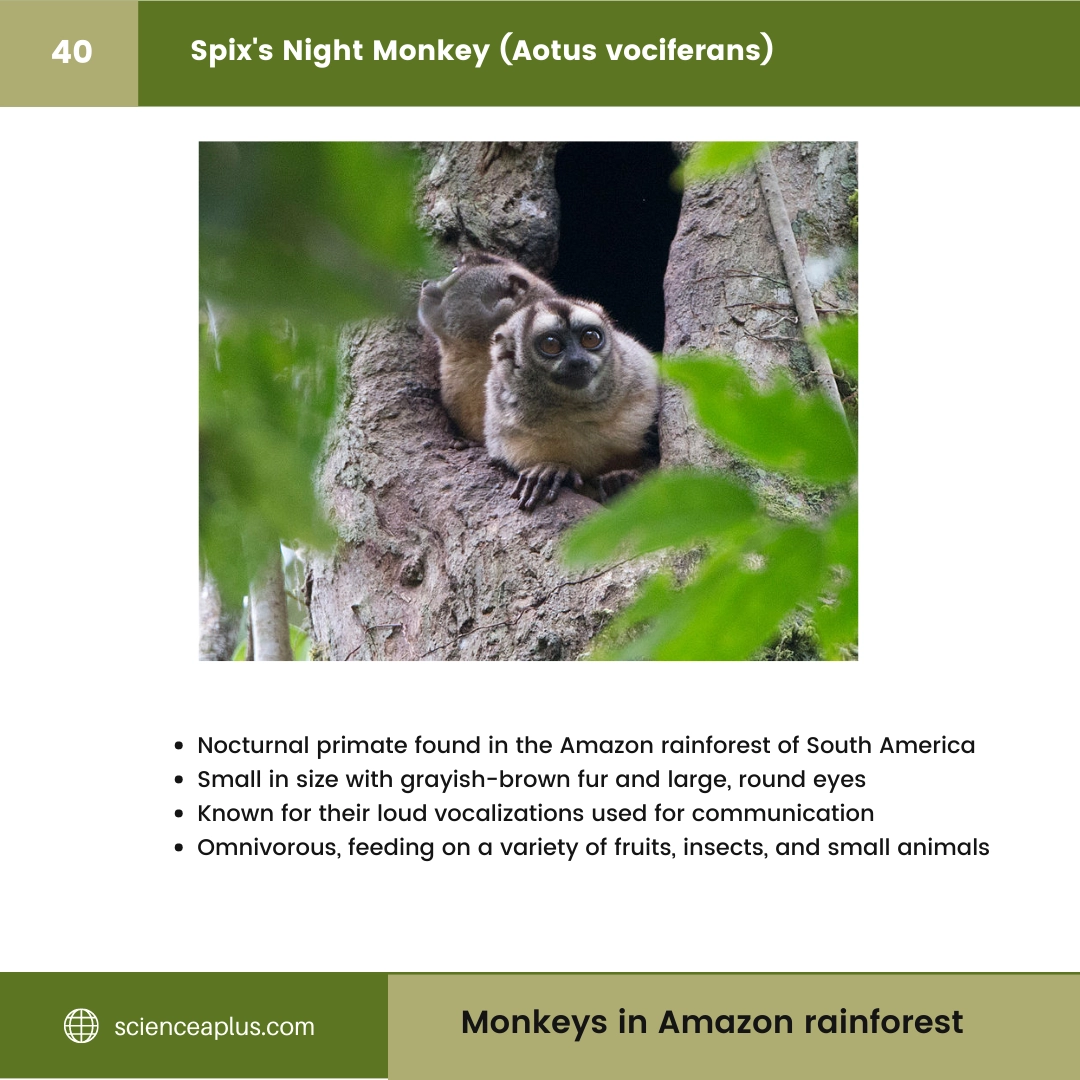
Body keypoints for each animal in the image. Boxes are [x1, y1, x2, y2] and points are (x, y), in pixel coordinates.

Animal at [485, 296, 660, 510]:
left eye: (590, 338)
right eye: (551, 344)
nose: (578, 360)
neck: (578, 409)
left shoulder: (639, 372)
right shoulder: (502, 419)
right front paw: (551, 470)